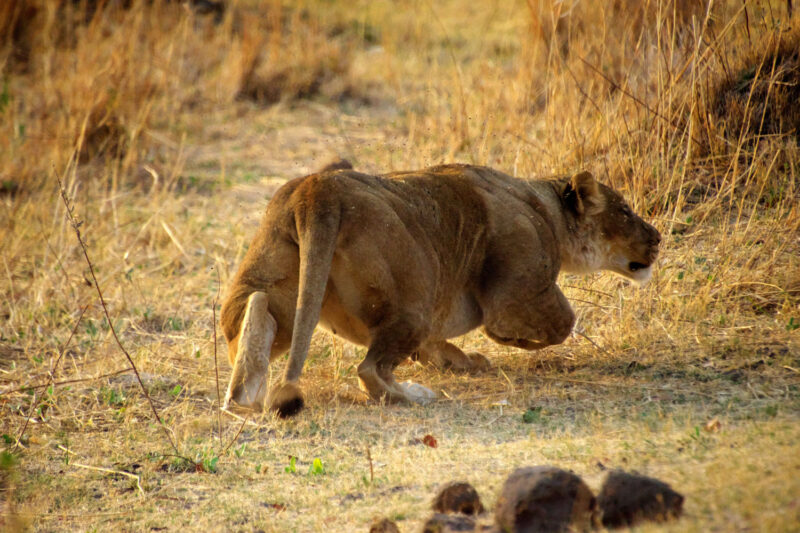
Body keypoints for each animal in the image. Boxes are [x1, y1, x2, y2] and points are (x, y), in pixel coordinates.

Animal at [220, 162, 664, 416]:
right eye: (626, 212)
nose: (658, 238)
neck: (548, 207)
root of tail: (317, 193)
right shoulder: (518, 284)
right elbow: (557, 323)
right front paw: (510, 344)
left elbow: (437, 345)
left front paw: (460, 361)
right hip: (416, 292)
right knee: (369, 370)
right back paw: (415, 396)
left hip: (277, 280)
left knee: (253, 321)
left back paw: (243, 395)